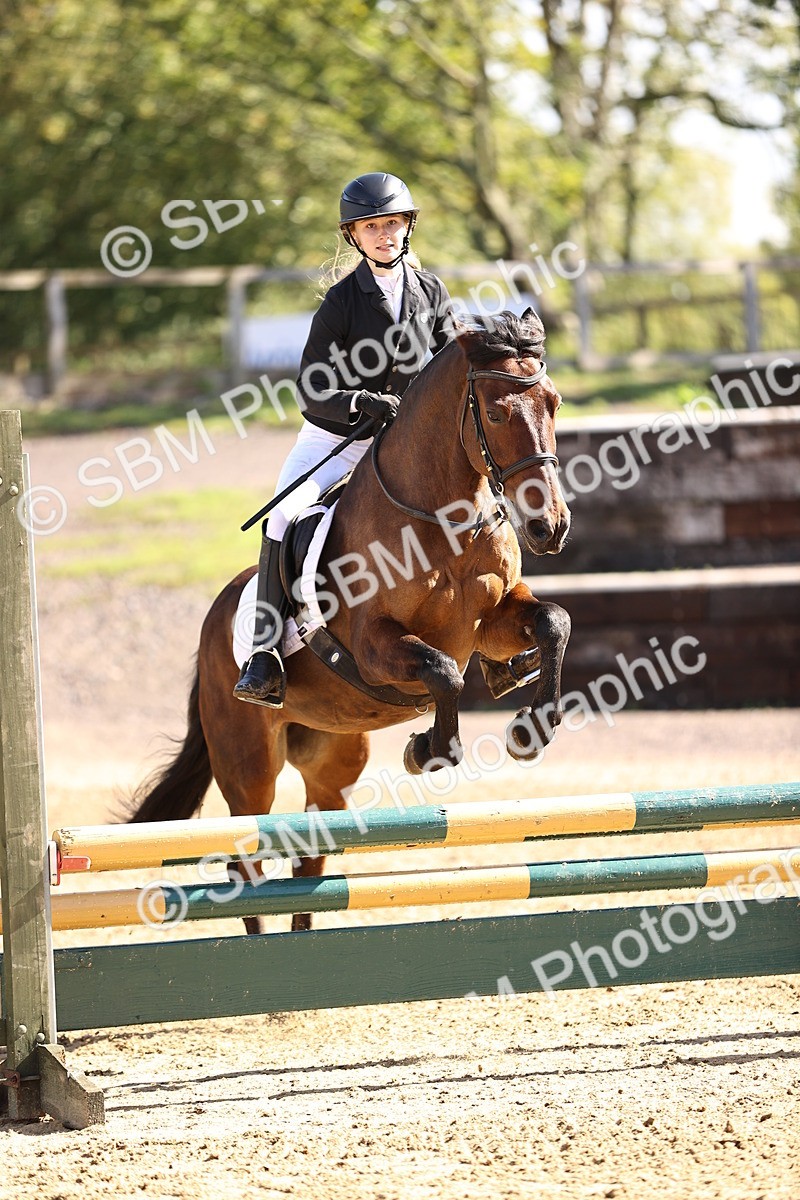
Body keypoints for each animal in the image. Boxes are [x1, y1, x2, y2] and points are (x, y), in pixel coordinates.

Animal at [128, 309, 572, 931]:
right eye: (496, 413)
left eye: (553, 403)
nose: (549, 527)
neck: (441, 518)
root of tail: (214, 619)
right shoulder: (374, 645)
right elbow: (444, 673)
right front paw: (428, 751)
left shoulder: (494, 619)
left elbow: (554, 621)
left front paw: (531, 731)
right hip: (248, 766)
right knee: (246, 866)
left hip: (331, 761)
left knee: (308, 861)